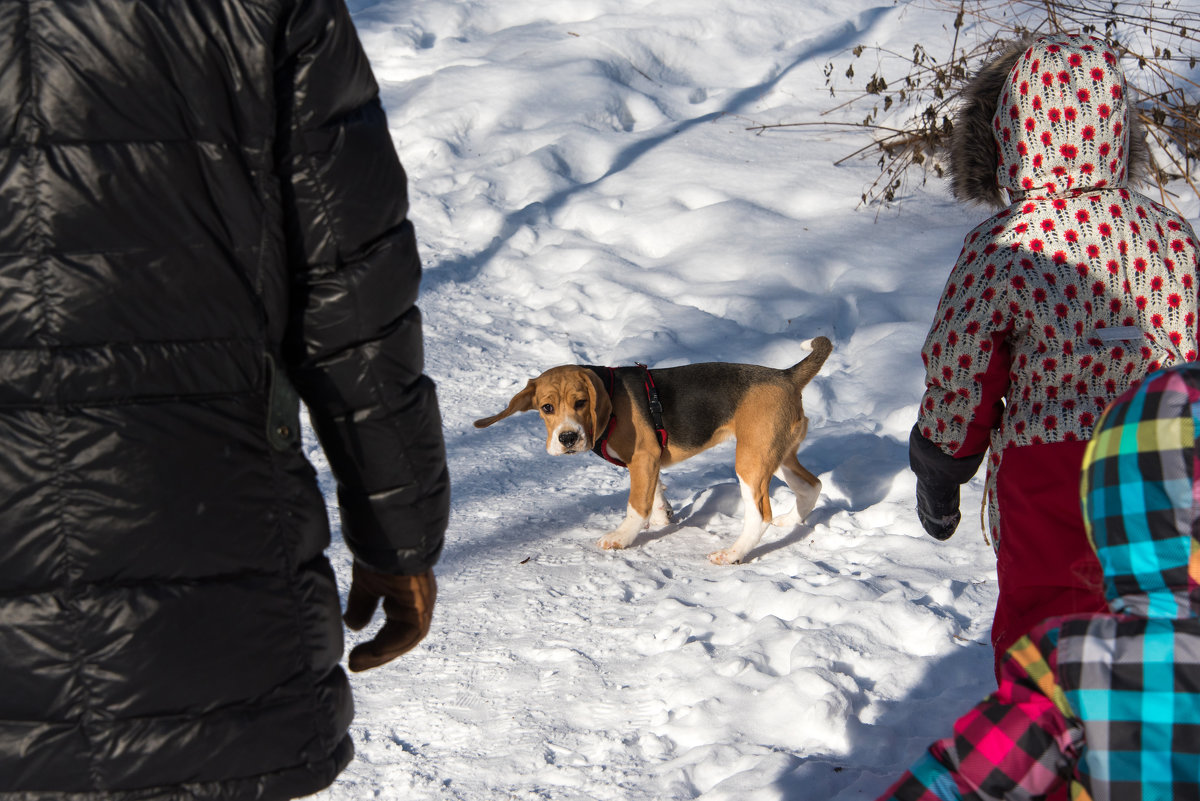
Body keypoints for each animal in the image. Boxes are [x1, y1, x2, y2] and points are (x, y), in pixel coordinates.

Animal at [472, 335, 830, 563]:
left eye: (581, 402)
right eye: (546, 408)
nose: (568, 438)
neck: (611, 399)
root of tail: (786, 376)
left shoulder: (643, 458)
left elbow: (636, 505)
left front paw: (621, 538)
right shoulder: (650, 462)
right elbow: (654, 494)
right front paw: (662, 518)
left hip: (751, 460)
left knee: (760, 515)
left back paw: (732, 554)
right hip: (777, 454)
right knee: (811, 486)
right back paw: (789, 521)